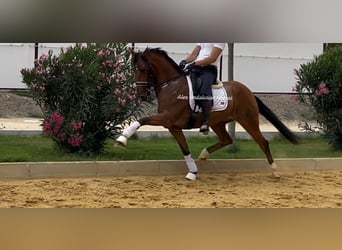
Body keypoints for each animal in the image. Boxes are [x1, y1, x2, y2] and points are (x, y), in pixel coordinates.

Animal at [116, 47, 298, 180]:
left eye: (142, 68)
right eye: (133, 70)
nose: (141, 96)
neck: (171, 85)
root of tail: (249, 91)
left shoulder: (167, 118)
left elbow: (141, 120)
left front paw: (121, 140)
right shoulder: (173, 127)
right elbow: (185, 149)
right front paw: (192, 172)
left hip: (248, 120)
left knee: (263, 142)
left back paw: (275, 171)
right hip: (218, 123)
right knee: (226, 139)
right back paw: (204, 154)